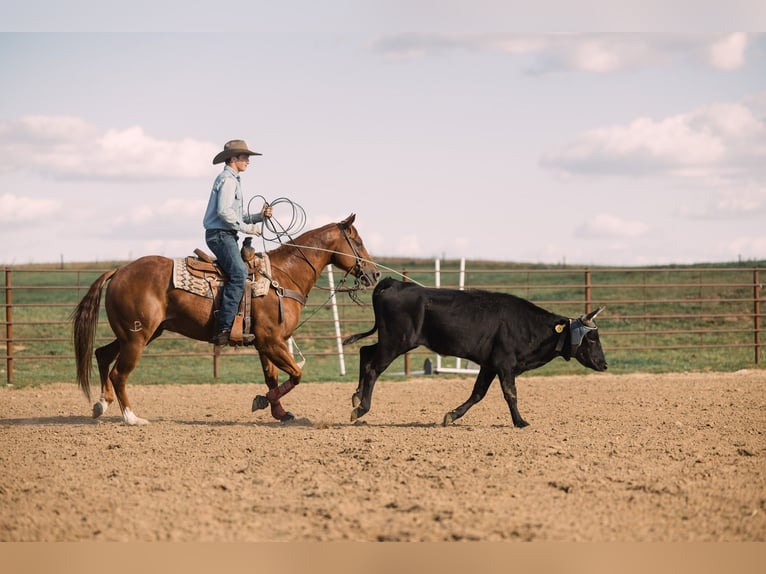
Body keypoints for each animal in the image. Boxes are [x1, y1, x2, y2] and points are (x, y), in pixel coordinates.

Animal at [72, 214, 379, 425]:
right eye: (358, 242)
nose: (374, 274)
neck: (282, 277)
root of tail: (119, 270)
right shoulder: (272, 342)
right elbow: (296, 374)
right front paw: (261, 402)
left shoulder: (265, 344)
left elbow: (273, 377)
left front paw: (279, 412)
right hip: (137, 338)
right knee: (118, 373)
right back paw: (131, 418)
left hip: (136, 335)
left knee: (102, 354)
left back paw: (101, 404)